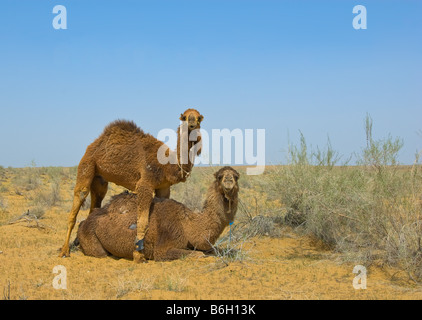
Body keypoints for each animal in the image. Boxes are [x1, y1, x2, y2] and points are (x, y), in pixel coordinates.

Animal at [59, 109, 204, 262]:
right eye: (185, 117)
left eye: (199, 118)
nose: (192, 123)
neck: (167, 165)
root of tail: (95, 143)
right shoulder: (145, 183)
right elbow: (142, 221)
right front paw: (138, 255)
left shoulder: (164, 187)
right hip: (87, 164)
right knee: (79, 198)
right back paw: (64, 251)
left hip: (100, 178)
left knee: (96, 201)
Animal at [76, 166, 241, 262]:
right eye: (219, 176)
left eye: (236, 176)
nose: (228, 180)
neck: (188, 224)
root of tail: (85, 221)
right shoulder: (163, 248)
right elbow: (198, 254)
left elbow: (217, 250)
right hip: (91, 239)